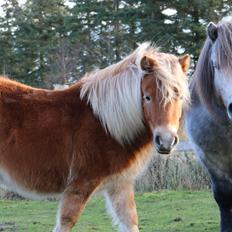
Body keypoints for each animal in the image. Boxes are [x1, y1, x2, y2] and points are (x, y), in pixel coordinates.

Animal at [0, 42, 189, 231]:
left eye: (179, 96)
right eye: (147, 97)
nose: (166, 141)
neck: (106, 124)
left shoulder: (120, 184)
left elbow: (130, 221)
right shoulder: (81, 184)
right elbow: (66, 221)